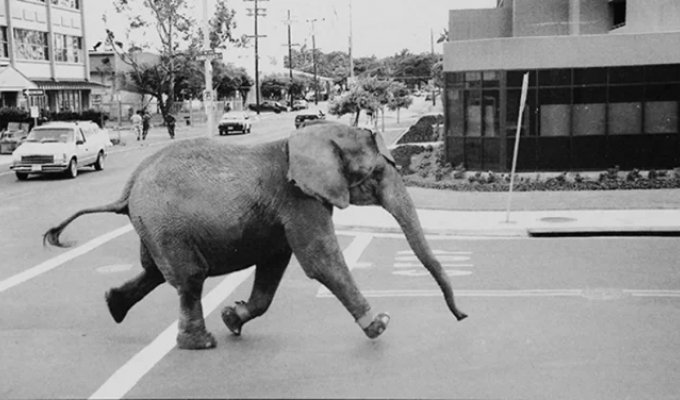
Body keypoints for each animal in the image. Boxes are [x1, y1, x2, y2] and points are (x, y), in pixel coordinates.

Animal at [44, 121, 467, 350]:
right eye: (377, 173)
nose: (463, 317)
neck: (309, 137)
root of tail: (128, 189)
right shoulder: (299, 198)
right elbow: (320, 261)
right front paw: (380, 324)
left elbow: (275, 264)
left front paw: (233, 317)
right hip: (166, 224)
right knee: (189, 278)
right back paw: (201, 344)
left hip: (155, 226)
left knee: (155, 272)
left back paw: (113, 305)